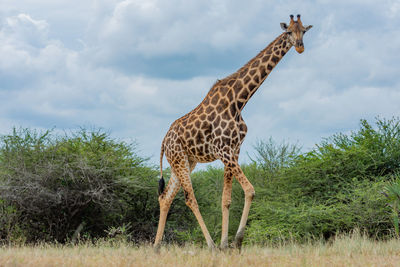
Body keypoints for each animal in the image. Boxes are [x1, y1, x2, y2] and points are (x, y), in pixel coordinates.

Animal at [153, 14, 312, 250]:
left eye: (304, 31)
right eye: (288, 32)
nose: (300, 47)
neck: (238, 101)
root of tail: (164, 141)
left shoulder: (234, 151)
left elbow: (226, 200)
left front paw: (225, 244)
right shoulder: (224, 151)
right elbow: (250, 190)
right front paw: (235, 242)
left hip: (185, 161)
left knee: (165, 197)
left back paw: (156, 248)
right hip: (180, 159)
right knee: (190, 199)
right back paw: (209, 245)